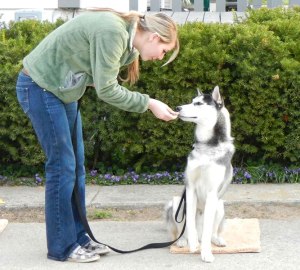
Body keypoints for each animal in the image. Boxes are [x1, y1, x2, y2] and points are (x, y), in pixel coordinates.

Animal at [166, 86, 234, 262]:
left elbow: (208, 228)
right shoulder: (190, 189)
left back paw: (216, 240)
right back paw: (183, 241)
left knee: (211, 231)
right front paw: (193, 244)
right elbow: (189, 222)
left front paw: (206, 253)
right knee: (182, 229)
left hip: (219, 205)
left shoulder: (212, 192)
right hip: (177, 203)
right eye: (191, 101)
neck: (207, 147)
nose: (177, 108)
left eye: (198, 103)